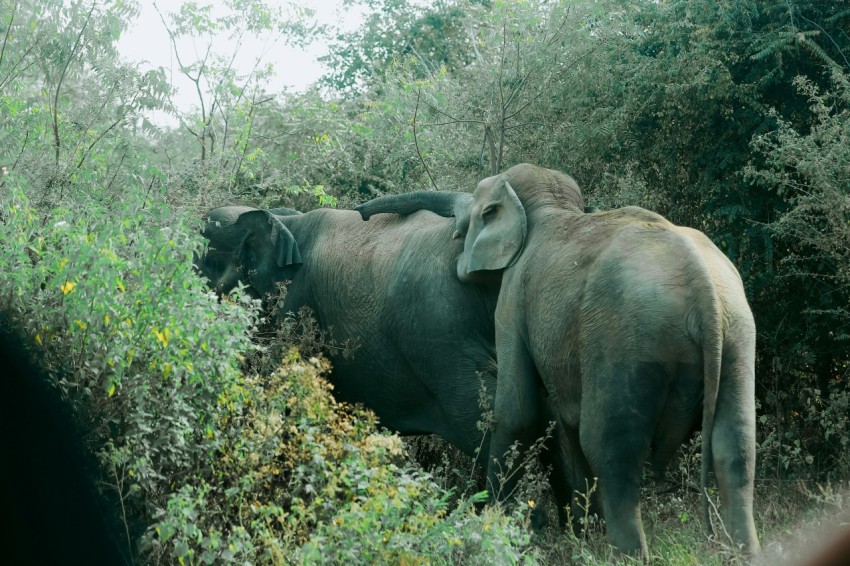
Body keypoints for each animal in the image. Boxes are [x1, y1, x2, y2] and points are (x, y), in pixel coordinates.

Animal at [352, 163, 756, 560]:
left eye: (473, 216)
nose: (360, 212)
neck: (552, 208)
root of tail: (702, 285)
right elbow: (558, 420)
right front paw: (579, 533)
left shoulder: (512, 297)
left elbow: (516, 412)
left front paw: (501, 523)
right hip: (737, 333)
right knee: (734, 447)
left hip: (626, 340)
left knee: (611, 449)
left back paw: (623, 554)